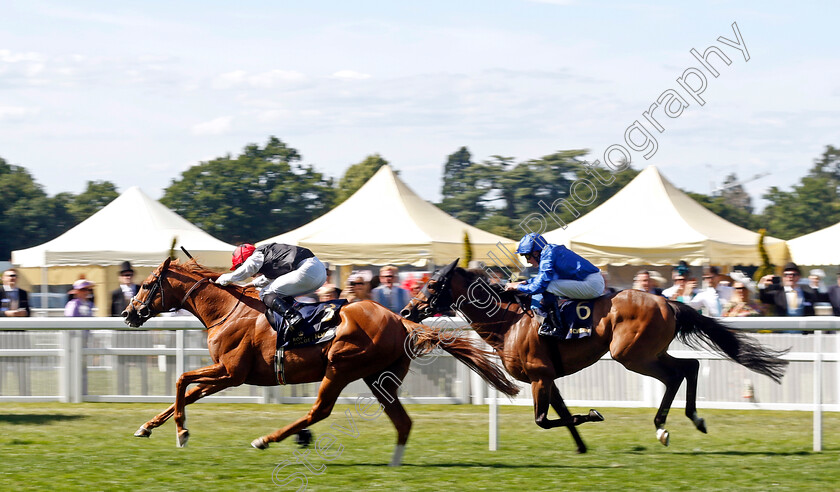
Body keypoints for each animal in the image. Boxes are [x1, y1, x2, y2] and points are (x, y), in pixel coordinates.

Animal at [120, 258, 516, 466]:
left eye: (148, 284)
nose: (128, 313)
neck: (227, 310)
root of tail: (401, 319)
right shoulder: (224, 374)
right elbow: (186, 391)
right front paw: (148, 426)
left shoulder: (231, 372)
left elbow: (181, 380)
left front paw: (182, 433)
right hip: (378, 378)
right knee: (402, 421)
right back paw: (394, 462)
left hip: (340, 368)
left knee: (319, 411)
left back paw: (268, 439)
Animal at [400, 260, 788, 452]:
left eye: (432, 285)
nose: (406, 310)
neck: (509, 321)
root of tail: (667, 301)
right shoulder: (548, 378)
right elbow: (560, 415)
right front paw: (582, 446)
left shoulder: (539, 376)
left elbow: (545, 420)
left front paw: (593, 414)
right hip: (646, 352)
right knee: (686, 368)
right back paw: (686, 420)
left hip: (631, 354)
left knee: (679, 372)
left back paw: (669, 424)